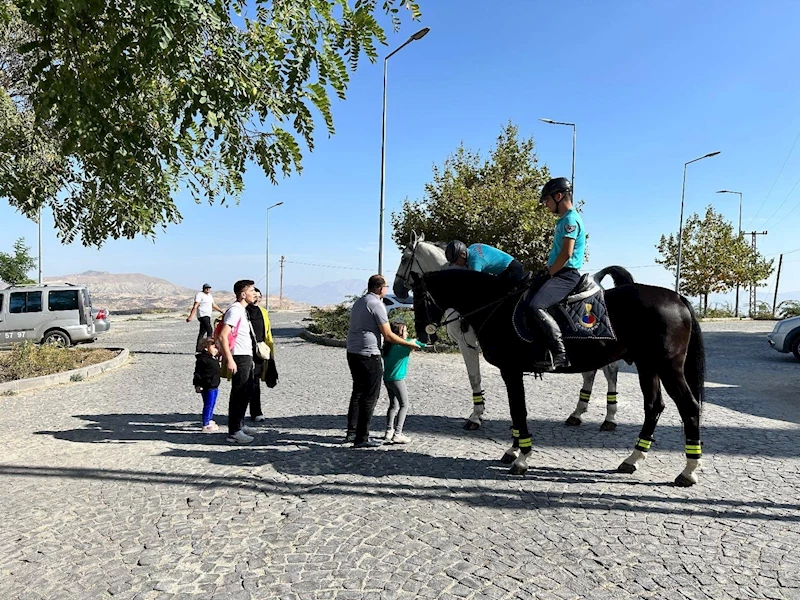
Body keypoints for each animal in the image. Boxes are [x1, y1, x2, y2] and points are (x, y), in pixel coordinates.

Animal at [390, 236, 620, 432]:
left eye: (403, 258)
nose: (398, 290)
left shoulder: (468, 345)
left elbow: (474, 378)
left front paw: (476, 416)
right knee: (590, 373)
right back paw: (577, 414)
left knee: (610, 371)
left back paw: (609, 418)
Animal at [416, 268, 704, 488]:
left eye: (418, 297)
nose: (422, 334)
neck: (497, 306)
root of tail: (677, 298)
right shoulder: (511, 372)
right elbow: (515, 411)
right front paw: (514, 450)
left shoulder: (511, 370)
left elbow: (518, 411)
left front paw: (522, 458)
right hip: (647, 366)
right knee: (653, 406)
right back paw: (632, 459)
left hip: (667, 367)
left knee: (689, 407)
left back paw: (688, 470)